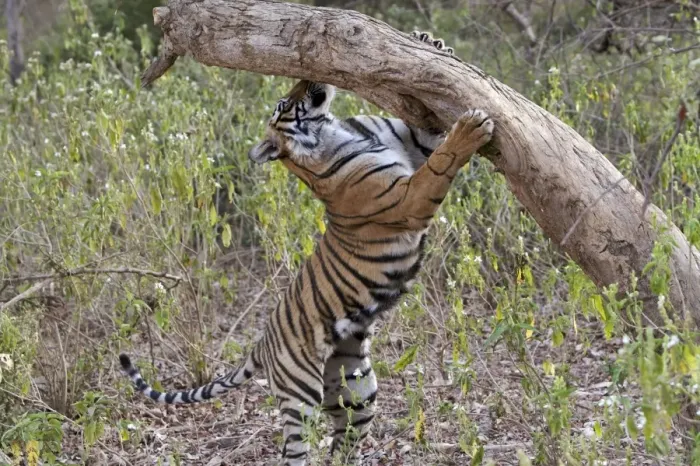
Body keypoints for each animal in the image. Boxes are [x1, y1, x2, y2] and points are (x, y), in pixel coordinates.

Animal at [119, 32, 493, 466]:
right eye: (284, 103)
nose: (308, 77)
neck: (333, 132)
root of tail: (261, 345)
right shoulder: (408, 198)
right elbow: (442, 162)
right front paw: (472, 126)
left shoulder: (412, 144)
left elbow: (427, 133)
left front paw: (430, 42)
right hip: (300, 395)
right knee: (296, 449)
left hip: (357, 389)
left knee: (344, 441)